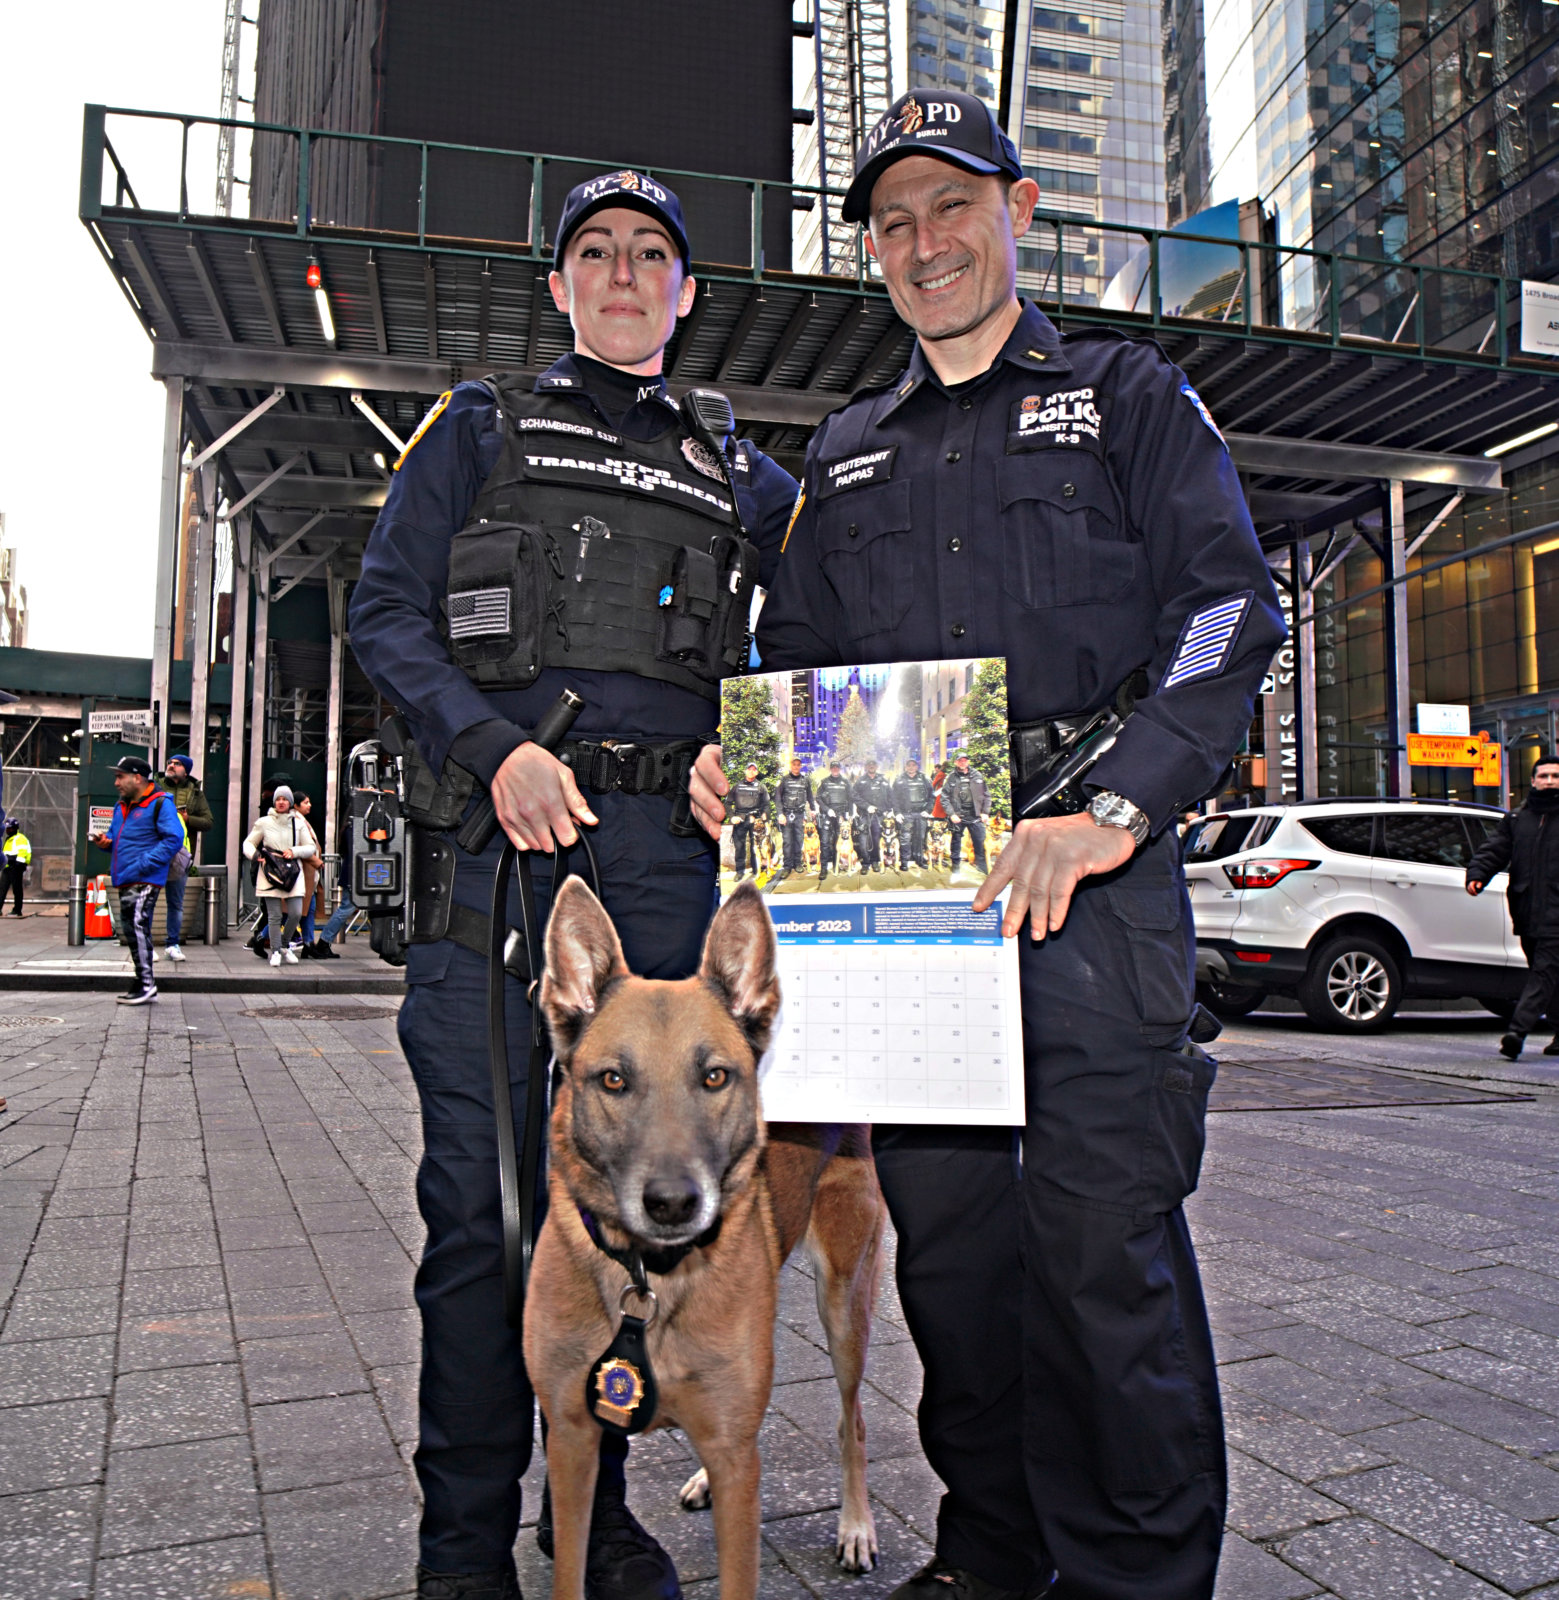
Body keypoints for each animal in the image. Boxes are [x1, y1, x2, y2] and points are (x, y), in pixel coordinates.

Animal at [531, 876, 883, 1600]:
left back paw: (856, 1526)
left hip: (845, 1305)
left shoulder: (732, 1461)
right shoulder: (572, 1440)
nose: (672, 1203)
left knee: (851, 1419)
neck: (649, 1278)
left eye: (715, 1076)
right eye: (613, 1079)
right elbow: (570, 1571)